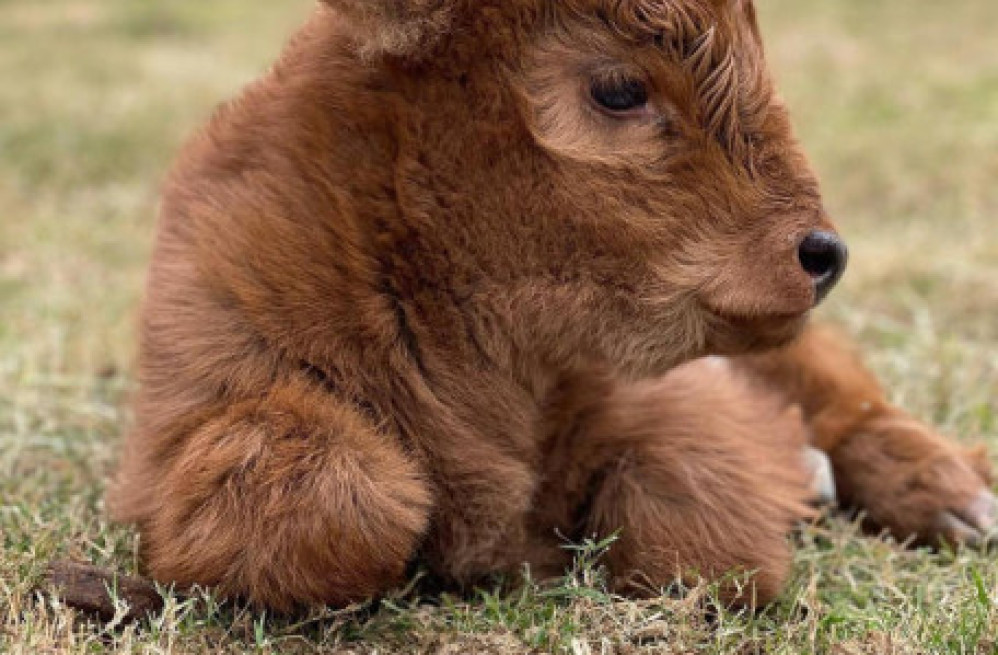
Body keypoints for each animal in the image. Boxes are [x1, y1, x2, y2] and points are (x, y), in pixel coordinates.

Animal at [105, 1, 996, 616]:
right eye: (618, 88)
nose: (823, 253)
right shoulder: (190, 414)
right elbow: (327, 503)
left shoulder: (661, 386)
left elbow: (692, 523)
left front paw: (789, 482)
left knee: (845, 390)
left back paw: (955, 496)